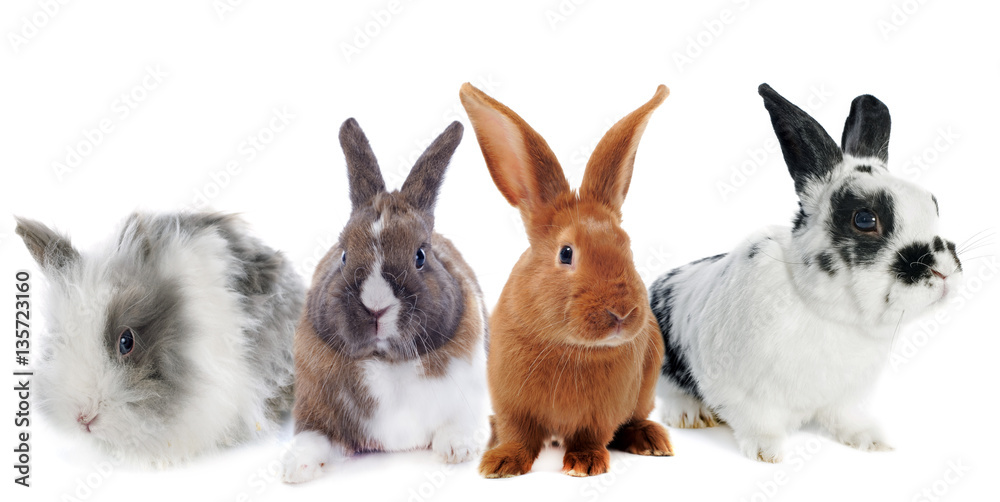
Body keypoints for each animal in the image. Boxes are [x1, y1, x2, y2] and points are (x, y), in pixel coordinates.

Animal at [282, 118, 489, 484]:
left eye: (420, 255)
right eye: (344, 255)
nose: (376, 306)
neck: (386, 362)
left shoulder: (469, 399)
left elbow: (456, 426)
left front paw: (457, 450)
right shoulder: (314, 409)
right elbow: (312, 437)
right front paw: (295, 468)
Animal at [459, 83, 674, 478]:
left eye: (626, 246)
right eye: (566, 253)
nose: (622, 313)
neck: (570, 347)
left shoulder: (601, 412)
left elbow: (591, 435)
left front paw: (585, 464)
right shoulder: (512, 402)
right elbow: (518, 433)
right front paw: (501, 463)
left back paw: (651, 440)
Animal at [650, 83, 964, 463]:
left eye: (933, 203)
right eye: (865, 219)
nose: (944, 271)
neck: (827, 313)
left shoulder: (846, 398)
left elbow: (846, 419)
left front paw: (872, 442)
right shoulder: (742, 392)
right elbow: (758, 422)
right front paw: (768, 453)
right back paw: (690, 415)